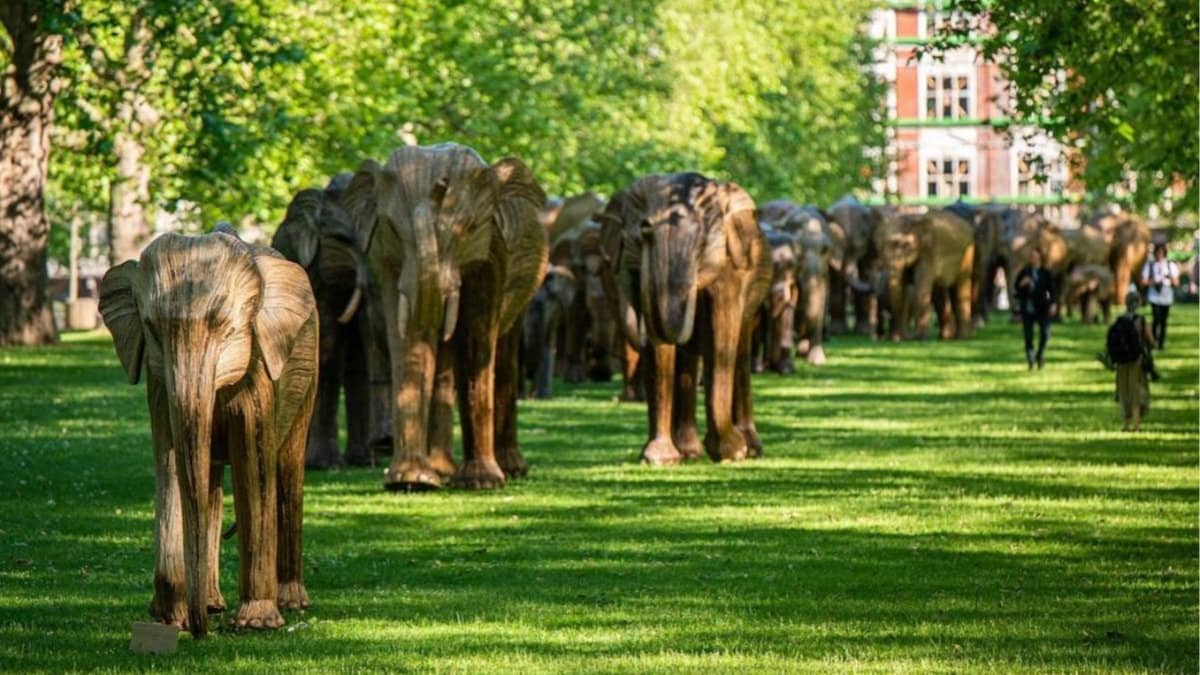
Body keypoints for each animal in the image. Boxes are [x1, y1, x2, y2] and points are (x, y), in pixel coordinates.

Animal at [98, 231, 317, 637]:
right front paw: (170, 618)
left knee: (287, 469)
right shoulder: (158, 380)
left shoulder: (257, 371)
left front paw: (256, 624)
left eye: (226, 328)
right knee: (209, 478)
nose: (200, 632)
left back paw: (291, 603)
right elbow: (169, 464)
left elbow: (253, 469)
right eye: (152, 329)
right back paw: (214, 603)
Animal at [271, 175, 392, 469]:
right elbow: (327, 350)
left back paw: (361, 460)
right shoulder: (310, 268)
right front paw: (324, 465)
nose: (386, 442)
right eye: (342, 239)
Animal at [343, 143, 547, 490]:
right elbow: (409, 342)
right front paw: (410, 482)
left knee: (503, 355)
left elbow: (477, 343)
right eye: (393, 227)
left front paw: (482, 483)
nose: (440, 184)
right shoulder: (385, 255)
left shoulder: (494, 250)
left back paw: (510, 470)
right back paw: (442, 473)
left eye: (471, 228)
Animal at [597, 172, 771, 465]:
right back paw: (689, 453)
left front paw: (731, 452)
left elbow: (721, 338)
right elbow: (660, 353)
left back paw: (751, 449)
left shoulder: (729, 267)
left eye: (702, 241)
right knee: (687, 358)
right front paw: (658, 459)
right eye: (638, 237)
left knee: (740, 349)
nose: (647, 227)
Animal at [874, 209, 975, 340]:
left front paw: (919, 338)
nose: (905, 337)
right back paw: (945, 338)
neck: (912, 219)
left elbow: (921, 289)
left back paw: (961, 337)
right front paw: (899, 339)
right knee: (941, 292)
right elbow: (902, 289)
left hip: (968, 252)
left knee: (961, 285)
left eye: (906, 245)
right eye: (882, 244)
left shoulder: (928, 252)